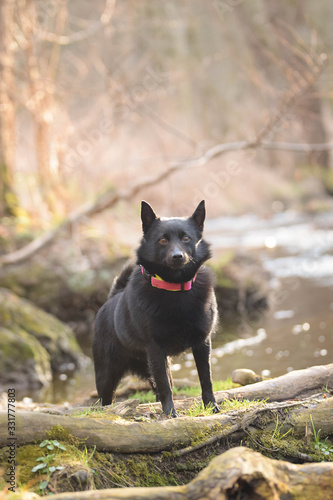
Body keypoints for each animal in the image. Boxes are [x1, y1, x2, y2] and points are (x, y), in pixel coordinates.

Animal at [92, 201, 219, 416]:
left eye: (186, 238)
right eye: (162, 240)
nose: (177, 256)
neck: (175, 289)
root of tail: (112, 298)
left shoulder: (202, 344)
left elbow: (206, 379)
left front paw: (211, 406)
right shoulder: (156, 350)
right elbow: (165, 386)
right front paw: (170, 413)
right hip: (107, 375)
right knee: (106, 400)